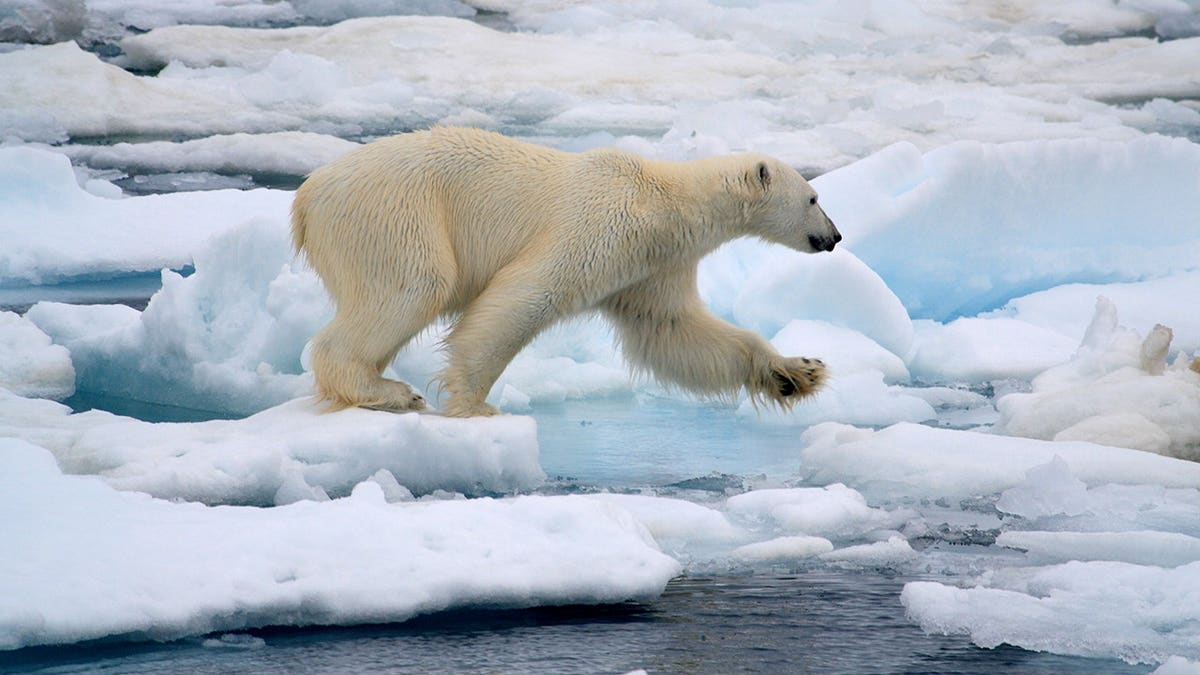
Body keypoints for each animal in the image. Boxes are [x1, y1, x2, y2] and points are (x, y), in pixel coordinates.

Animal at [291, 127, 841, 417]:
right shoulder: (600, 224)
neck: (662, 202)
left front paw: (797, 372)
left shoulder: (652, 265)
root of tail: (306, 197)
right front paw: (476, 405)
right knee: (414, 285)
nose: (835, 237)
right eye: (814, 198)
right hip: (397, 213)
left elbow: (673, 331)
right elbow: (526, 294)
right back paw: (392, 391)